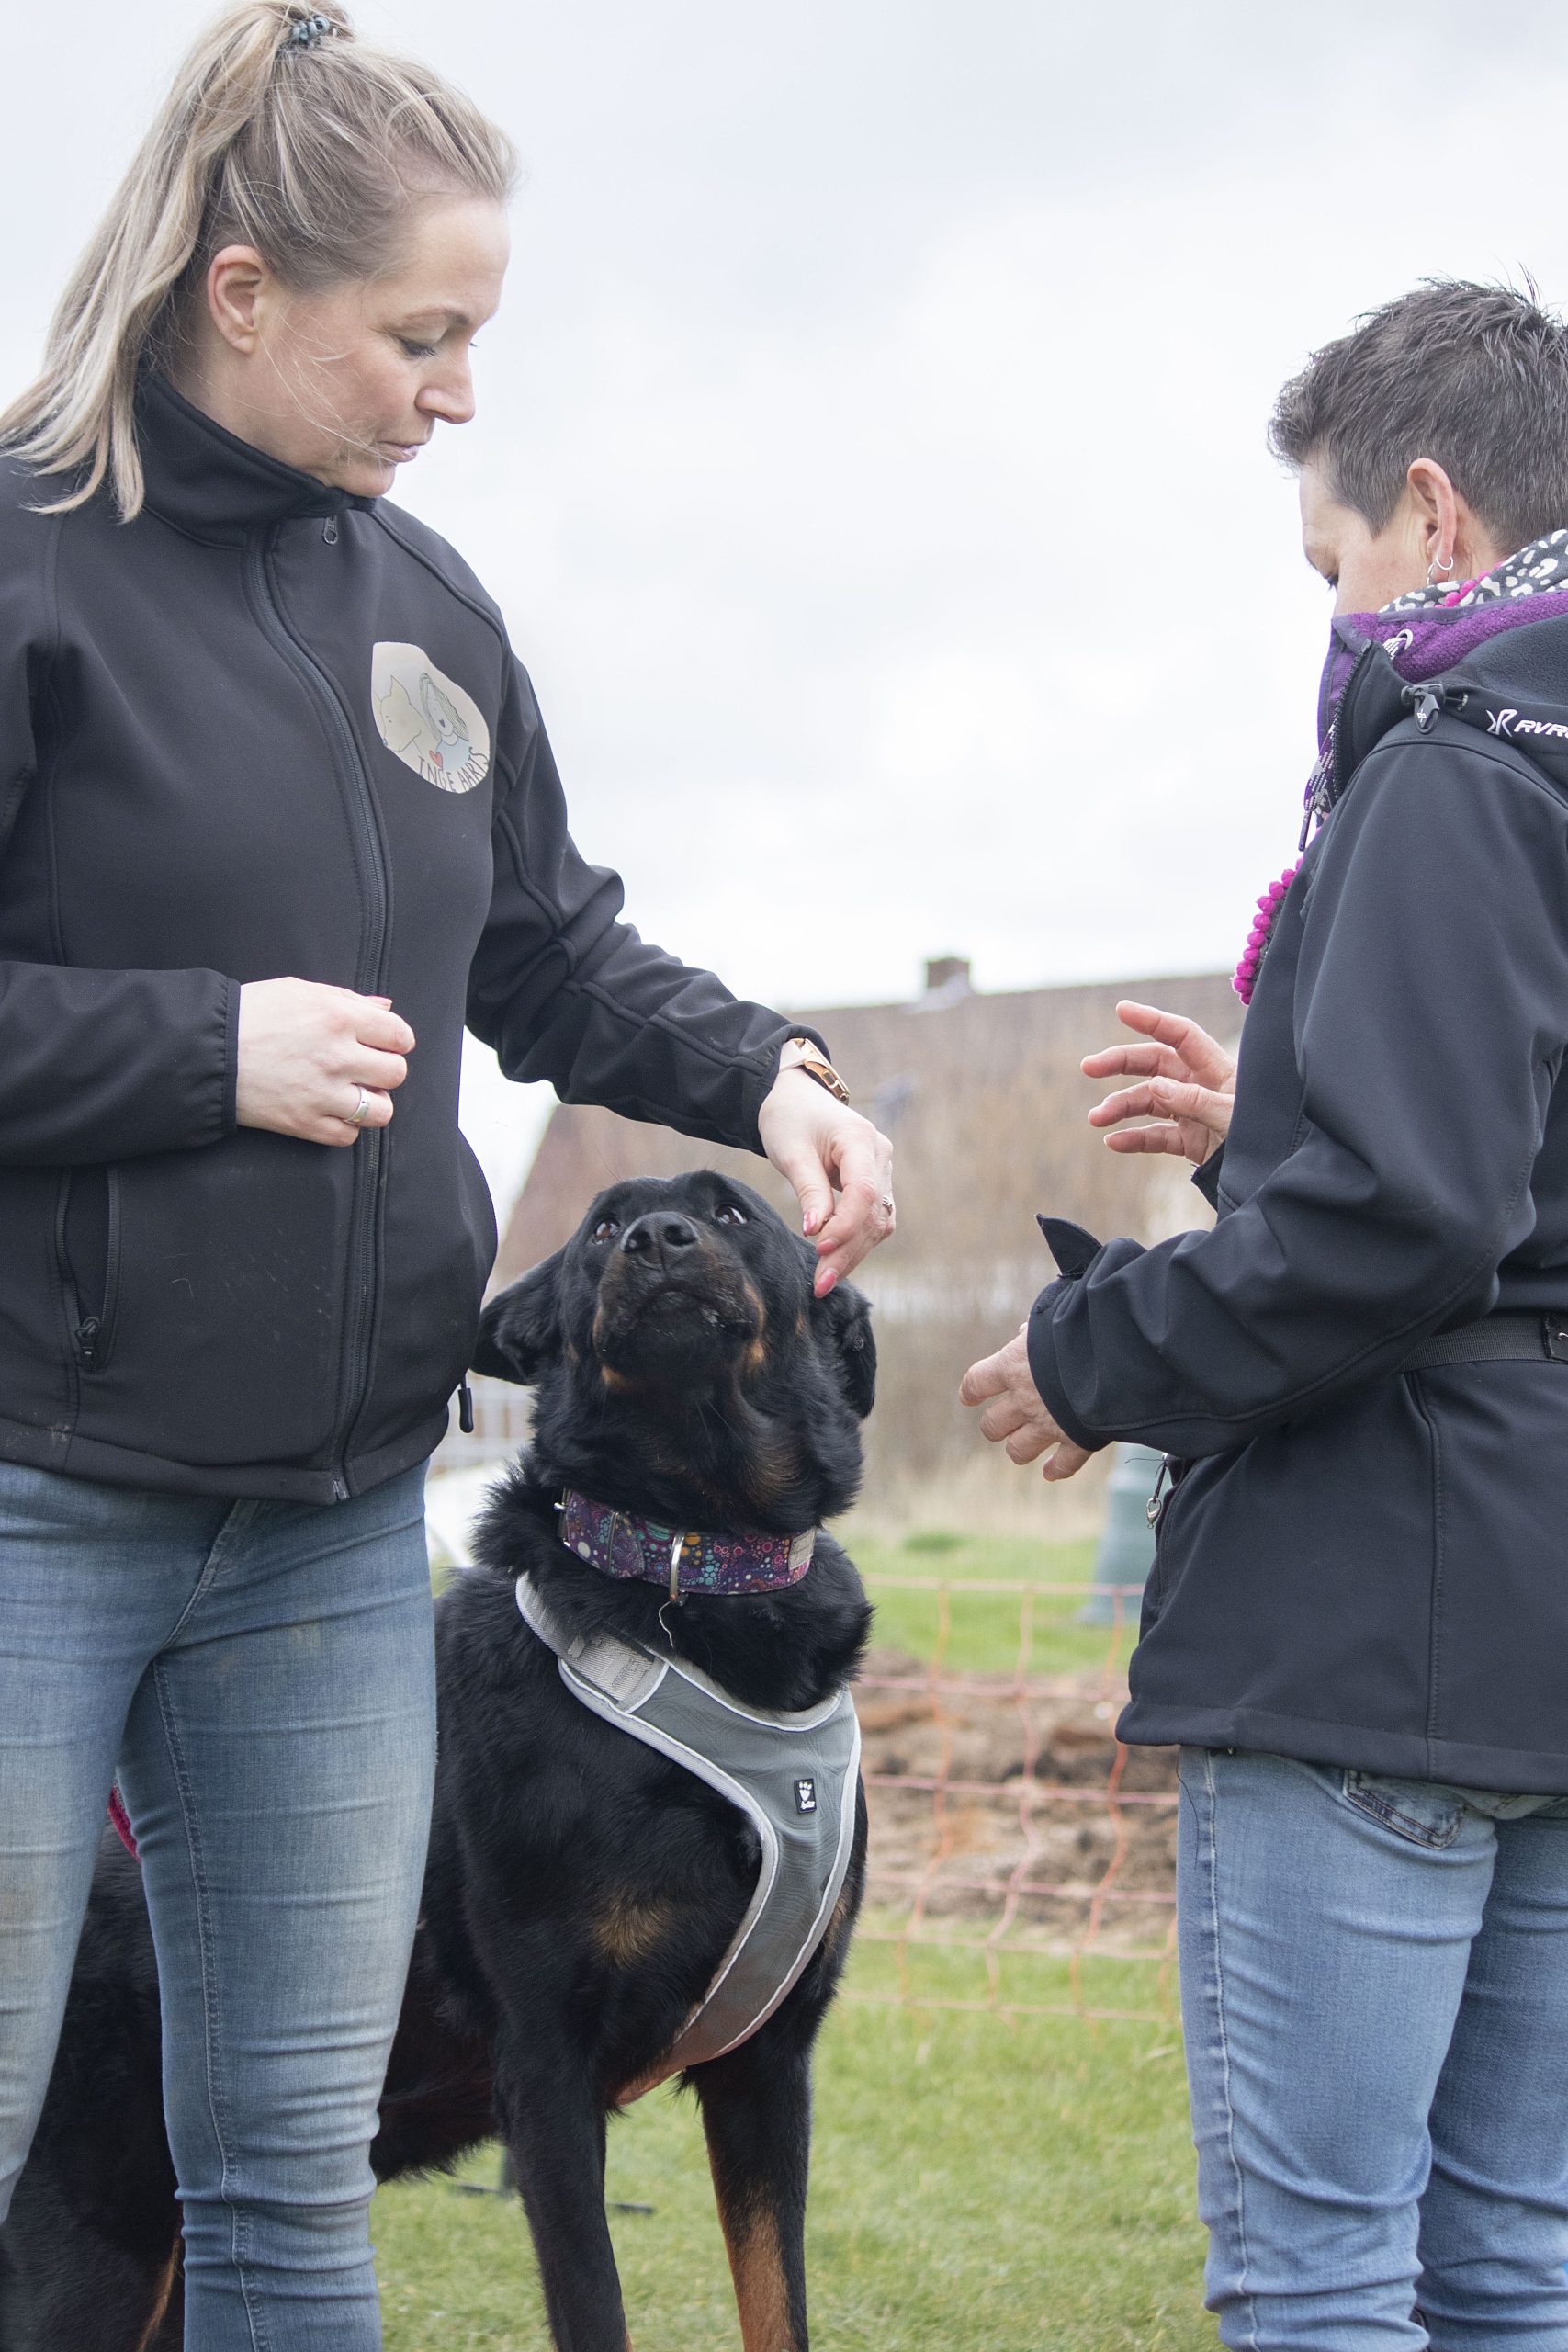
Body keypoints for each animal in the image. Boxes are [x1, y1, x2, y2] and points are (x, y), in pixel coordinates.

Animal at [0, 1176, 869, 2352]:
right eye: (603, 1229)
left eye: (734, 1214)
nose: (656, 1241)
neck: (687, 1562)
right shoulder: (547, 2070)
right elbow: (596, 2305)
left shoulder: (768, 2064)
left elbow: (779, 2305)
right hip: (99, 2239)